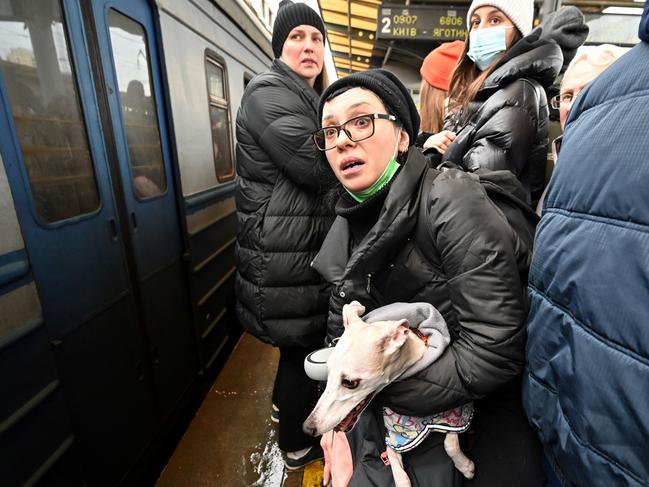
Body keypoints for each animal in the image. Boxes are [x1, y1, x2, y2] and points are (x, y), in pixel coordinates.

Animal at [302, 302, 474, 487]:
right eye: (328, 372)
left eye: (350, 382)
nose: (307, 428)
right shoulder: (394, 437)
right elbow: (396, 467)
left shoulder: (457, 411)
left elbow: (450, 442)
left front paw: (466, 467)